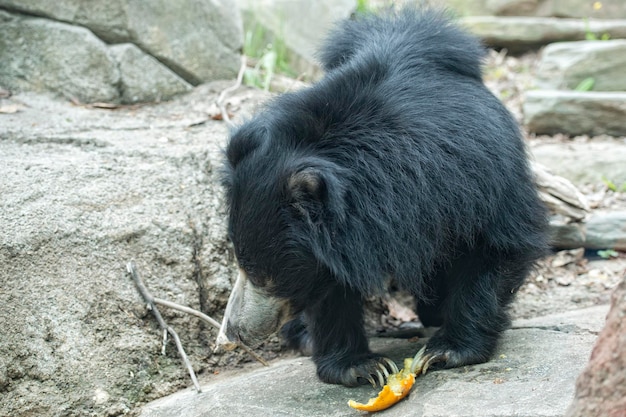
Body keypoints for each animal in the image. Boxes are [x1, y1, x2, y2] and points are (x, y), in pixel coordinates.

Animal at [216, 7, 544, 386]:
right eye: (241, 262)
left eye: (264, 276)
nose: (233, 333)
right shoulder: (332, 248)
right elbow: (331, 291)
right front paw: (361, 366)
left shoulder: (483, 178)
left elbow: (496, 247)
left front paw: (446, 350)